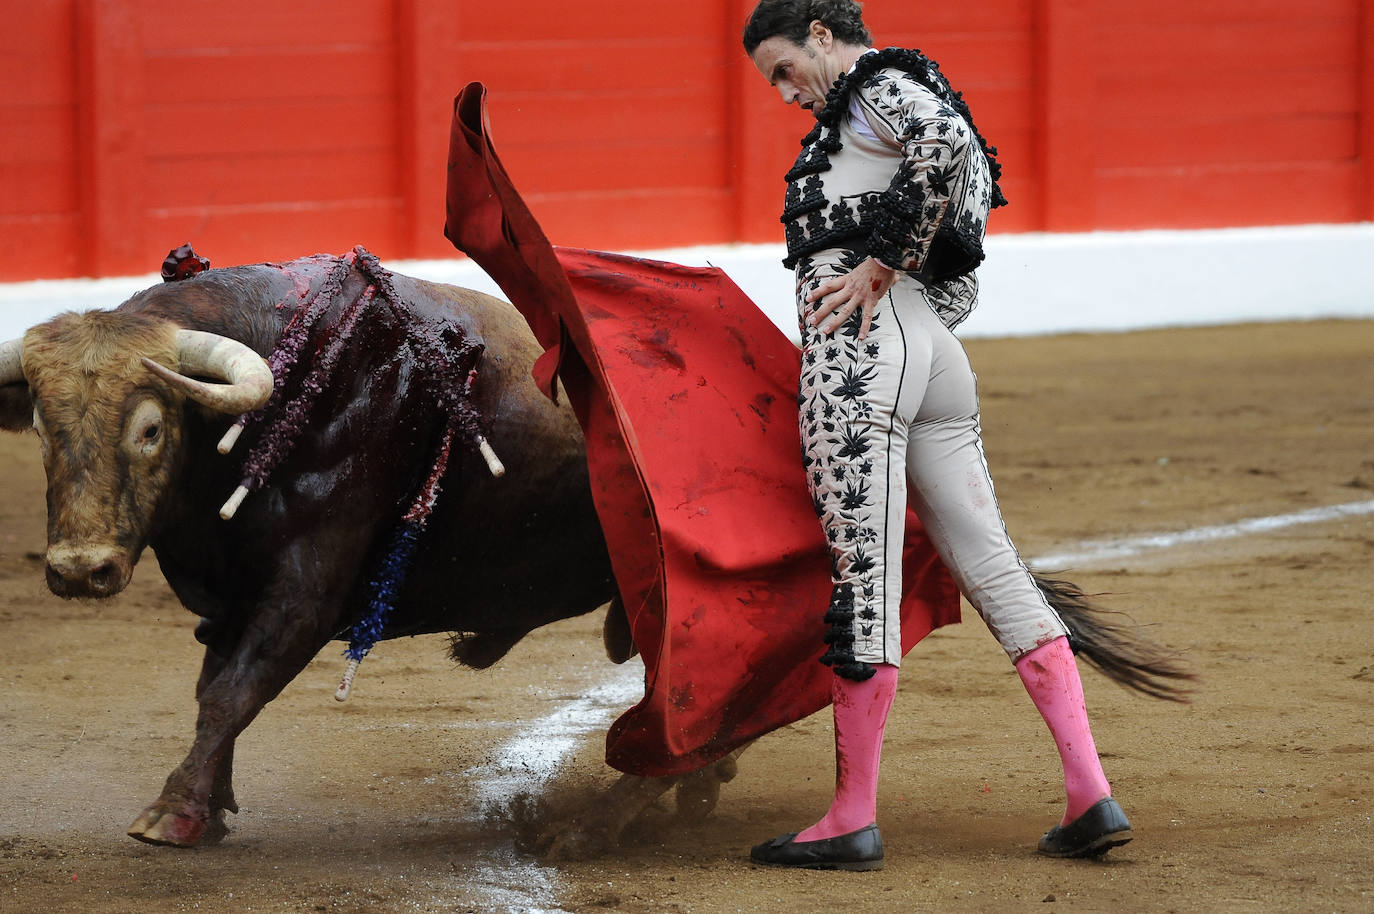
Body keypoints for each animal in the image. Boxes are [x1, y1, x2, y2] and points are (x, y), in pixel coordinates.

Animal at [2, 246, 719, 852]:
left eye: (150, 428)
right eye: (38, 424)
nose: (80, 568)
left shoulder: (306, 591)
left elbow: (233, 690)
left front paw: (172, 812)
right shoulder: (234, 595)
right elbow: (215, 684)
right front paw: (208, 806)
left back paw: (590, 829)